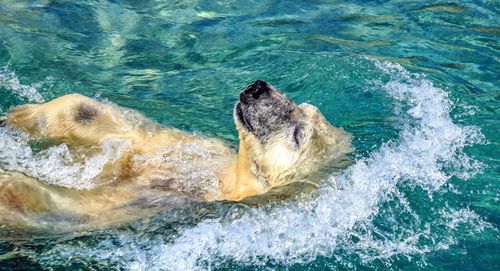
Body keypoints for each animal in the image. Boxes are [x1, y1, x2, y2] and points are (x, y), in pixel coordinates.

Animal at [0, 81, 352, 230]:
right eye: (303, 106)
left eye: (298, 135)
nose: (258, 87)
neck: (225, 182)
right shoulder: (197, 150)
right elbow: (121, 131)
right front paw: (22, 117)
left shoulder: (166, 203)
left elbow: (78, 208)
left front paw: (10, 185)